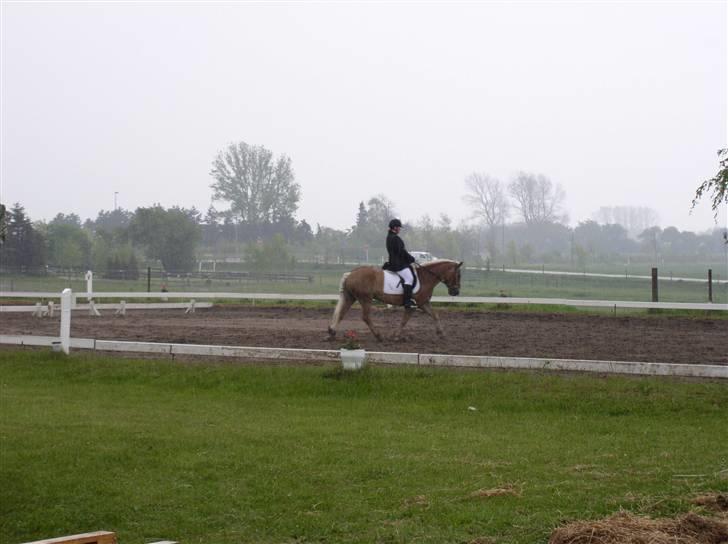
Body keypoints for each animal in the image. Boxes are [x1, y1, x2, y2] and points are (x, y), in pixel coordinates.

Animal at [328, 258, 464, 340]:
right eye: (458, 275)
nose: (455, 292)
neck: (425, 277)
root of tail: (350, 273)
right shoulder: (413, 305)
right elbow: (404, 320)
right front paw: (396, 335)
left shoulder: (423, 303)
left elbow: (435, 315)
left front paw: (441, 334)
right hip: (365, 299)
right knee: (366, 317)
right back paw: (379, 336)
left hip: (350, 297)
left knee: (341, 314)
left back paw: (332, 333)